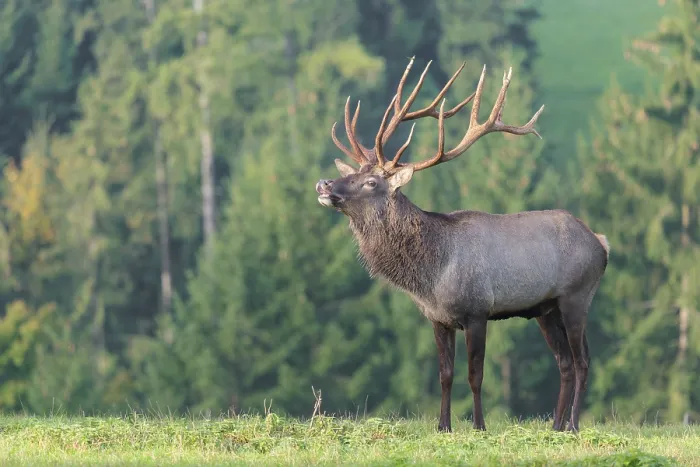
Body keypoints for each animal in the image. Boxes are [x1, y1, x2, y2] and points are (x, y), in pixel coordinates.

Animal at [315, 57, 609, 433]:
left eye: (370, 182)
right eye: (349, 173)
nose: (324, 184)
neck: (431, 276)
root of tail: (601, 243)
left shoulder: (477, 310)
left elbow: (475, 375)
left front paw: (479, 426)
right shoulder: (437, 319)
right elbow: (445, 374)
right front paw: (443, 426)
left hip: (577, 296)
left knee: (583, 360)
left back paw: (572, 424)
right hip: (546, 309)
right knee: (565, 363)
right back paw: (556, 425)